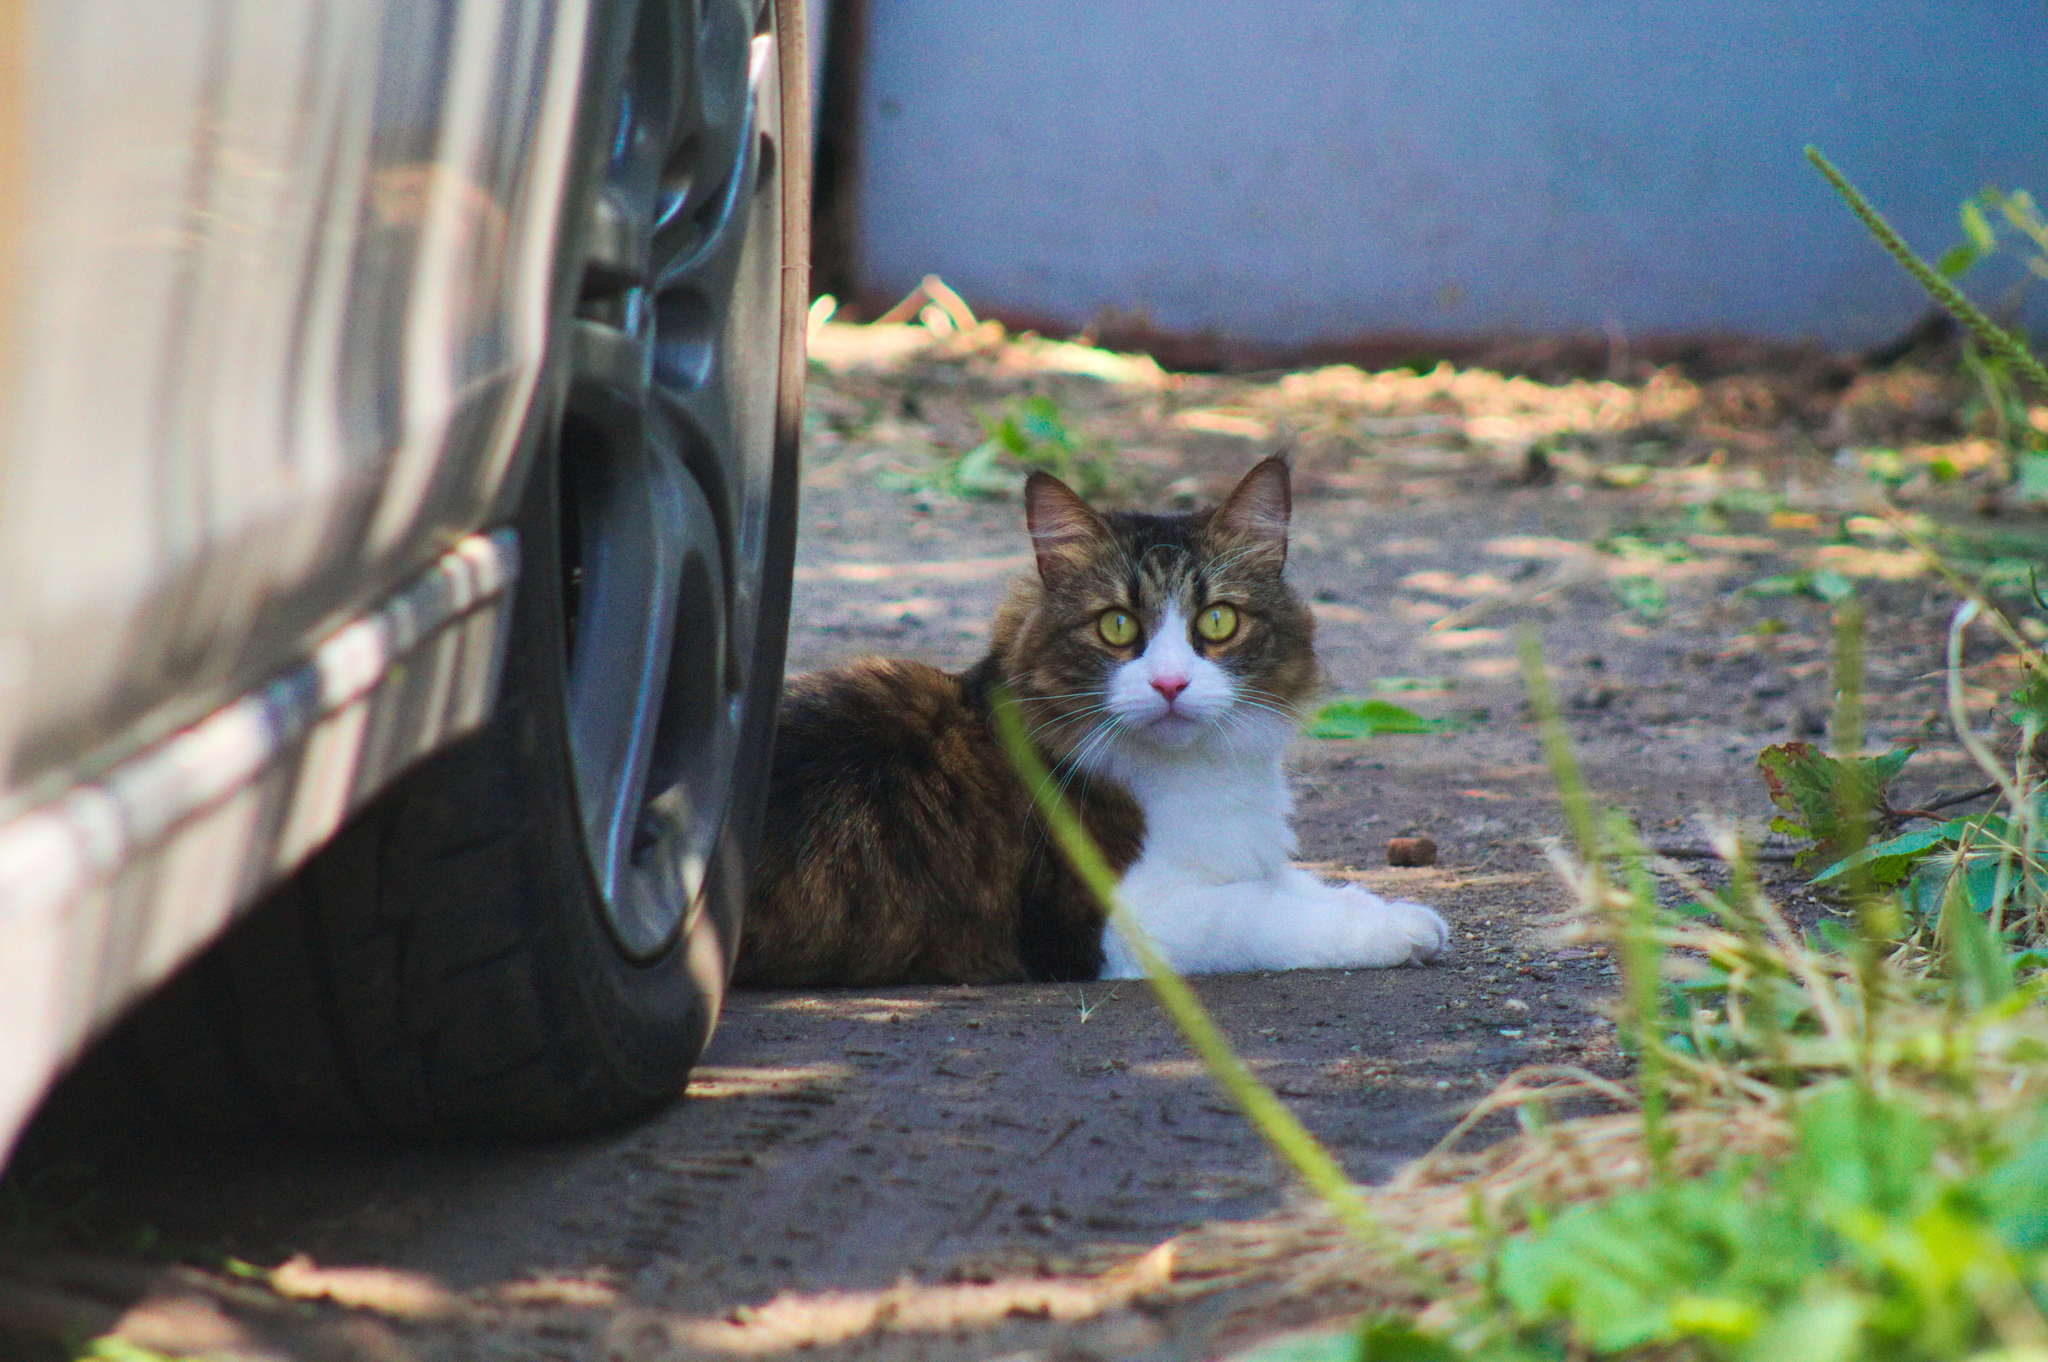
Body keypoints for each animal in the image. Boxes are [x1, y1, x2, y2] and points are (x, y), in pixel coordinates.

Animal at [729, 458, 1449, 987]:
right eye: (1117, 626)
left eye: (1217, 620)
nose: (1169, 683)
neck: (1198, 774)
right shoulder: (1118, 920)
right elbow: (1264, 915)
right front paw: (1391, 931)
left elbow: (1297, 883)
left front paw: (1402, 912)